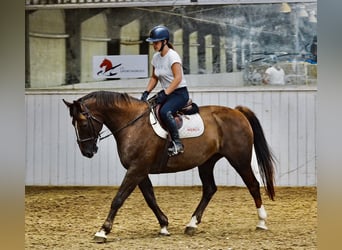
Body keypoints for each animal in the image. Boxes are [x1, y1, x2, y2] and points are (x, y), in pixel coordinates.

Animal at [62, 91, 276, 243]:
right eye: (72, 123)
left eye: (82, 123)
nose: (87, 152)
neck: (132, 124)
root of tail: (237, 111)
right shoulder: (140, 170)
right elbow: (150, 198)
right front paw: (164, 226)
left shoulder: (137, 169)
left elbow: (118, 199)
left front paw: (103, 231)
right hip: (206, 162)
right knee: (209, 189)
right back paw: (191, 224)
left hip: (239, 159)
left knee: (253, 185)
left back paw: (262, 222)